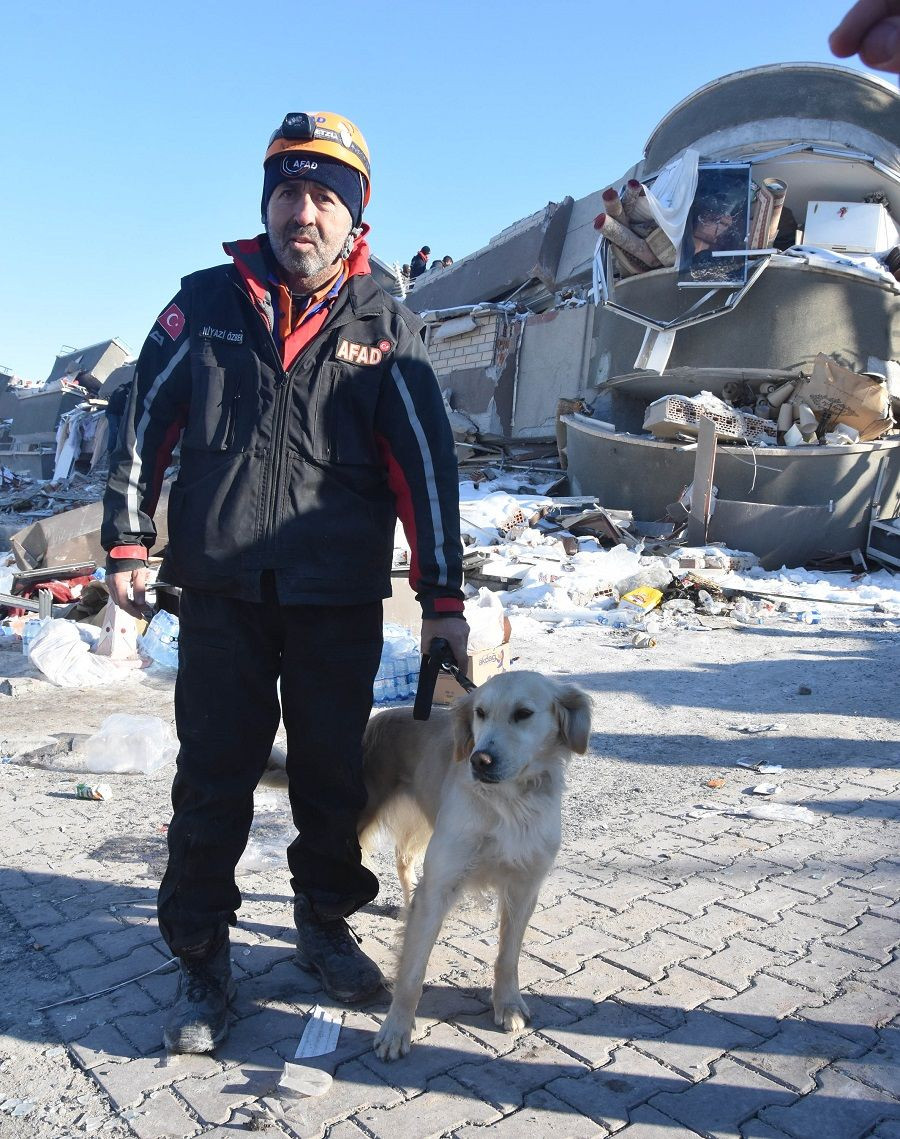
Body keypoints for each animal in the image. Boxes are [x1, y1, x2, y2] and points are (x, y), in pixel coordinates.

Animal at [360, 665, 592, 1056]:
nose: (479, 760)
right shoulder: (440, 882)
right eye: (480, 713)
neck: (509, 804)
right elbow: (411, 973)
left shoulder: (524, 887)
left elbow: (508, 956)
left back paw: (406, 905)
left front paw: (507, 1003)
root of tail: (382, 715)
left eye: (523, 714)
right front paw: (396, 1028)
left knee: (404, 861)